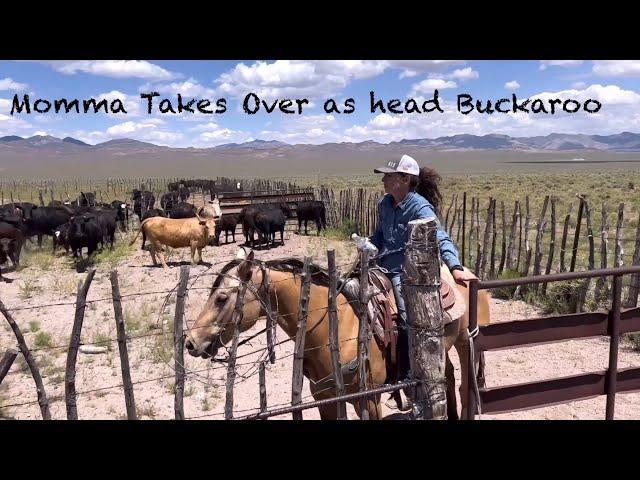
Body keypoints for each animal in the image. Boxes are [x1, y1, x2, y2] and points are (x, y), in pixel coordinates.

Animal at [182, 249, 492, 418]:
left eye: (222, 298)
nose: (190, 343)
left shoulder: (370, 400)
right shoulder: (325, 400)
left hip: (466, 341)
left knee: (465, 382)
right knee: (446, 375)